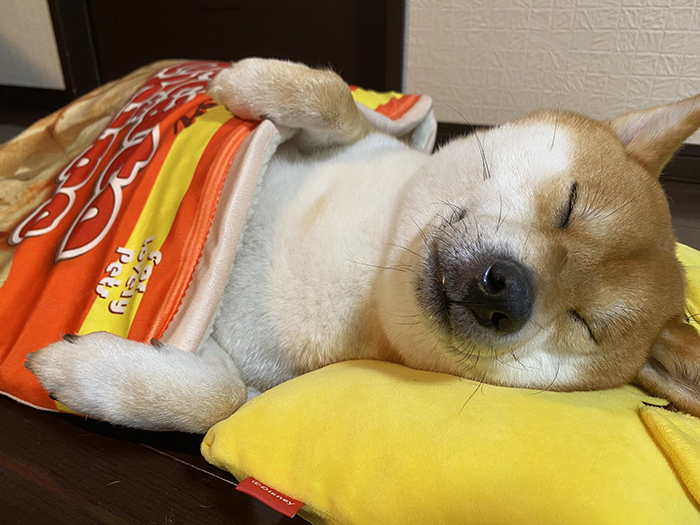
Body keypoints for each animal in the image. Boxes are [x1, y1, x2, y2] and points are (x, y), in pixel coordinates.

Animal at [24, 59, 700, 432]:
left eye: (583, 325)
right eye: (570, 206)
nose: (507, 293)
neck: (368, 270)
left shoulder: (230, 359)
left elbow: (220, 399)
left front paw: (84, 376)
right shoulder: (349, 136)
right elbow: (342, 101)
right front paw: (248, 80)